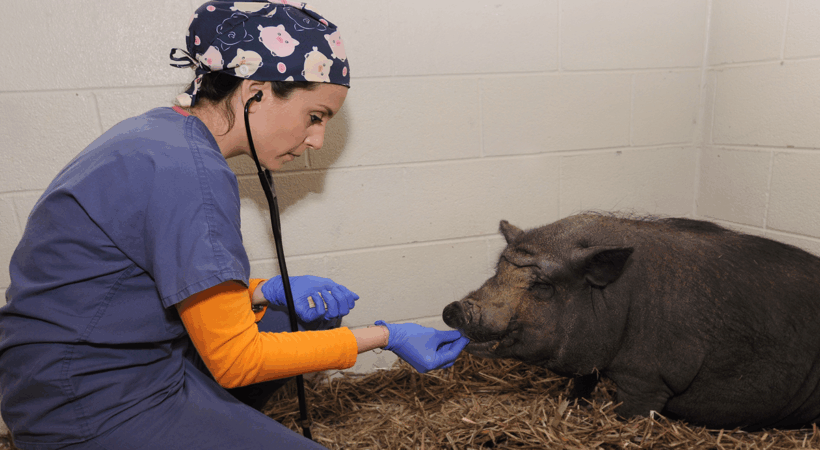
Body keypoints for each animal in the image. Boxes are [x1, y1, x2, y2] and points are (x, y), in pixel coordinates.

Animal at [442, 213, 820, 430]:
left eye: (542, 286)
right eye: (499, 269)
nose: (455, 309)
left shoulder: (649, 380)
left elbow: (632, 414)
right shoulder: (589, 361)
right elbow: (581, 386)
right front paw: (573, 404)